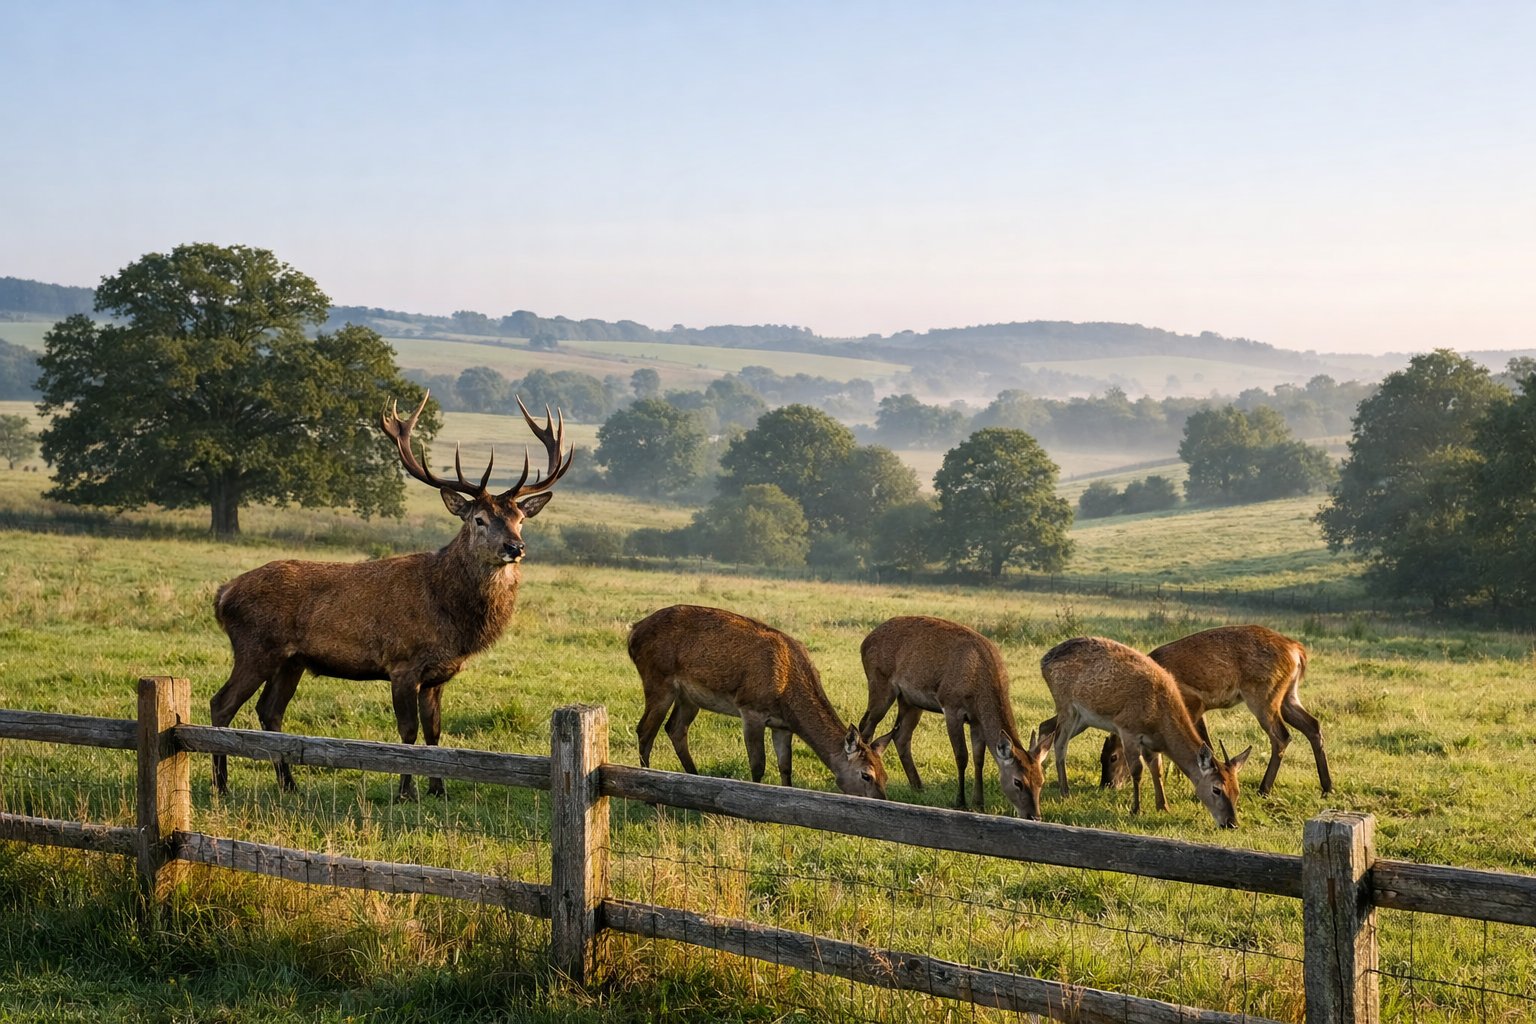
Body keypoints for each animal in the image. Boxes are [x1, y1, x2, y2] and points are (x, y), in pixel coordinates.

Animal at [210, 391, 572, 800]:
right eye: (478, 519)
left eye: (519, 519)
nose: (515, 547)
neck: (450, 613)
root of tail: (222, 595)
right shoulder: (402, 663)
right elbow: (408, 732)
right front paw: (405, 792)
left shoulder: (437, 675)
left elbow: (434, 732)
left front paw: (438, 789)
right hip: (255, 647)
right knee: (222, 704)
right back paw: (222, 785)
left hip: (292, 660)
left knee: (270, 710)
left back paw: (289, 784)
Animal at [628, 604, 889, 799]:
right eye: (866, 775)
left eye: (885, 776)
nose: (881, 800)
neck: (787, 694)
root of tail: (633, 632)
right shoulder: (751, 709)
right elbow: (758, 764)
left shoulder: (782, 726)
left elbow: (785, 766)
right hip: (657, 681)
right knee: (645, 730)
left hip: (689, 697)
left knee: (675, 728)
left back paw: (694, 776)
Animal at [856, 615, 1051, 819]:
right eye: (1018, 781)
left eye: (1041, 781)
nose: (1034, 816)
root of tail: (865, 641)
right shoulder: (951, 707)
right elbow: (961, 755)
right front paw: (961, 801)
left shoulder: (976, 721)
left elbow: (978, 759)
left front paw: (979, 803)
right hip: (880, 683)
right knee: (866, 727)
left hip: (910, 700)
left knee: (901, 736)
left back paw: (918, 786)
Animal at [1038, 636, 1252, 828]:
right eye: (1216, 789)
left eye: (1237, 790)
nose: (1231, 823)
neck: (1159, 721)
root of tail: (1043, 661)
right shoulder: (1127, 729)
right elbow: (1137, 770)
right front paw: (1136, 809)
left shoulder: (1151, 743)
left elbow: (1157, 769)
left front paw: (1163, 806)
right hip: (1066, 705)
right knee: (1060, 743)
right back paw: (1065, 791)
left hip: (1082, 718)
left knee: (1048, 729)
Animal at [1088, 625, 1331, 796]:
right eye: (1101, 757)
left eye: (1113, 757)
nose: (1107, 784)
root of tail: (1296, 651)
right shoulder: (1200, 708)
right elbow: (1207, 744)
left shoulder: (1192, 703)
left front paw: (1180, 779)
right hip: (1288, 694)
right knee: (1313, 725)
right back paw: (1327, 787)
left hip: (1264, 694)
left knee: (1281, 736)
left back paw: (1264, 789)